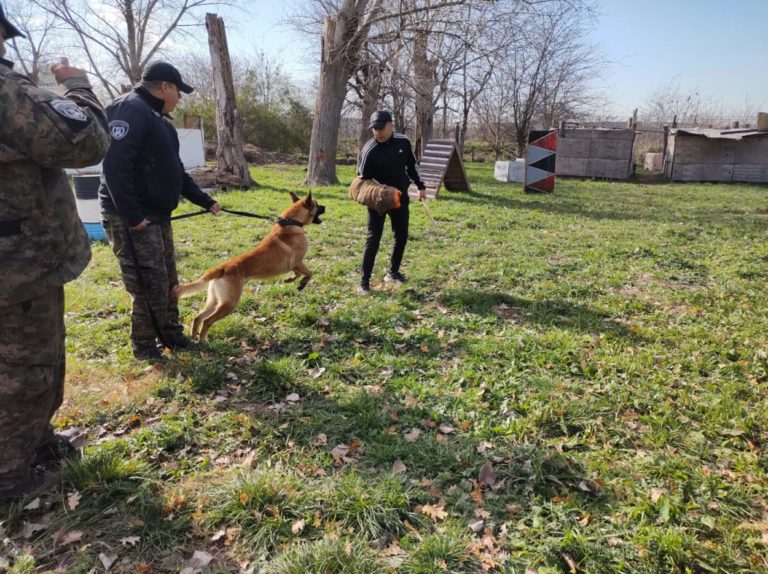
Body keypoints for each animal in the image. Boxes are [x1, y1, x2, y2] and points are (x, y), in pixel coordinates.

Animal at [172, 191, 326, 342]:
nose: (325, 207)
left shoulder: (293, 265)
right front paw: (302, 283)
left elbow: (298, 274)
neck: (291, 223)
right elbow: (309, 273)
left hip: (214, 300)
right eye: (317, 204)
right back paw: (203, 340)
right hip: (229, 304)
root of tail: (222, 268)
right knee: (207, 321)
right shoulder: (297, 262)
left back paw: (193, 337)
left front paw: (291, 280)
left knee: (197, 317)